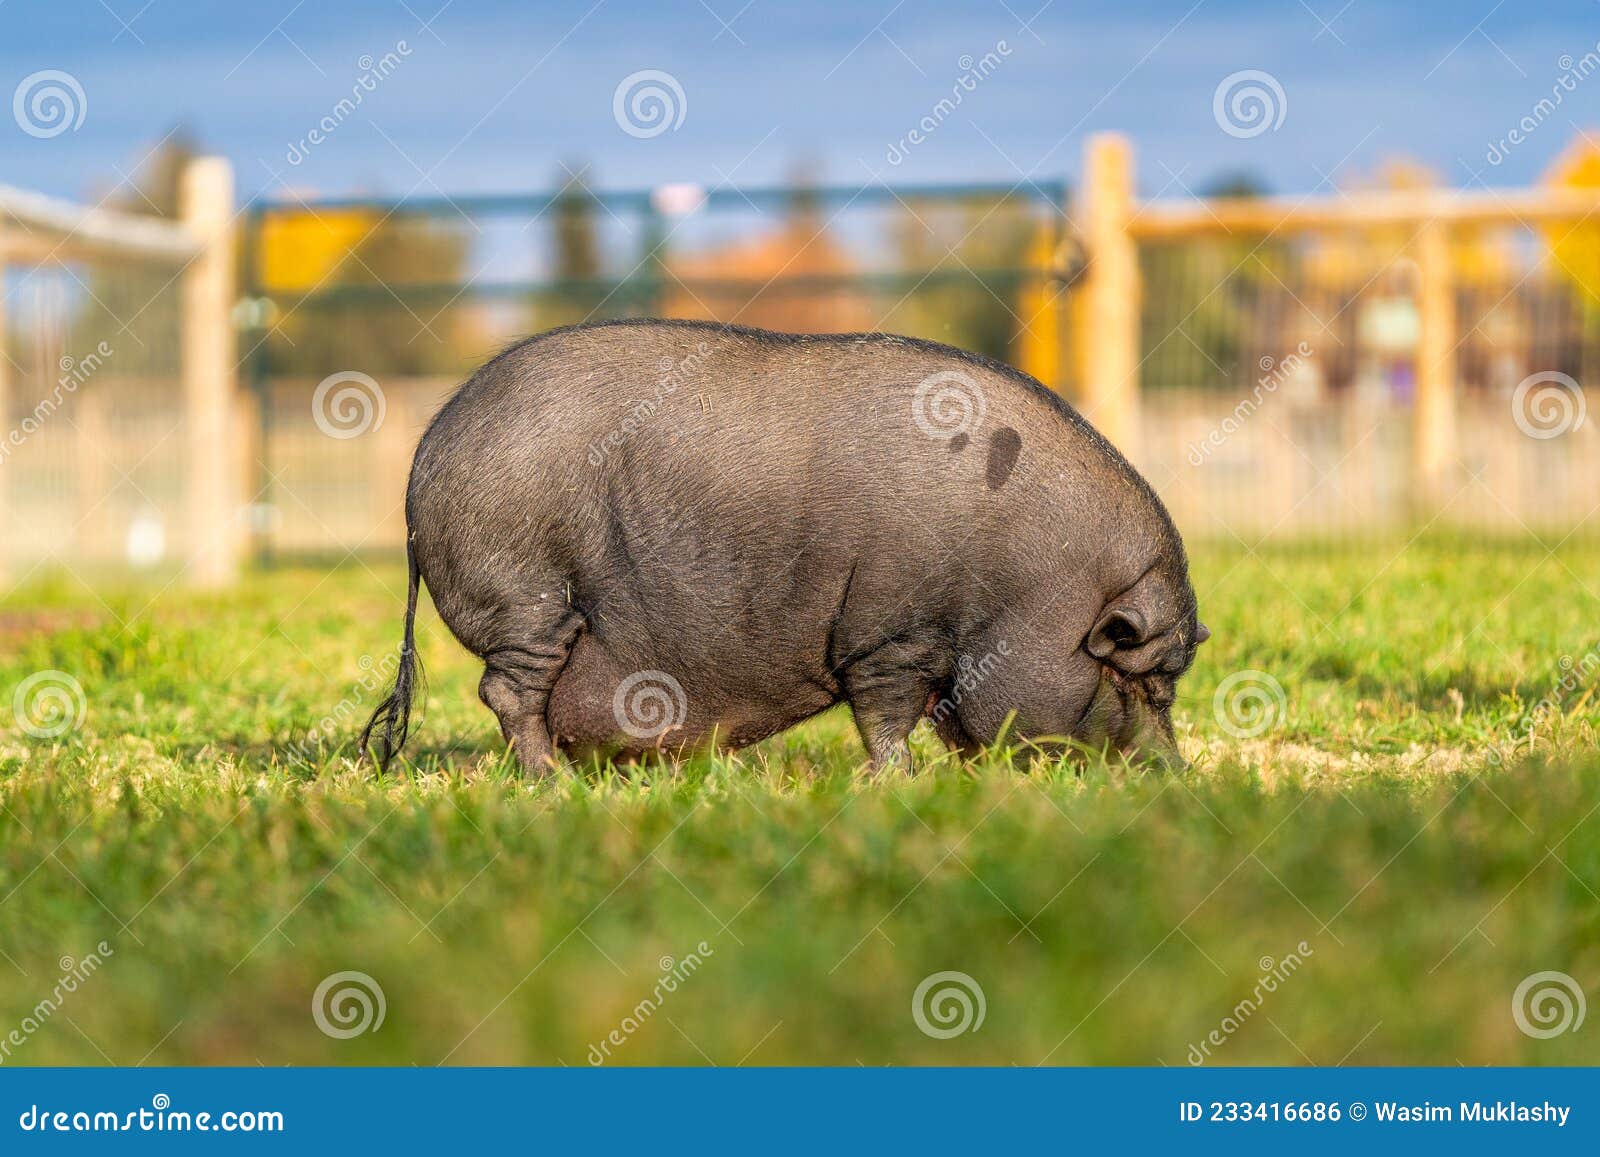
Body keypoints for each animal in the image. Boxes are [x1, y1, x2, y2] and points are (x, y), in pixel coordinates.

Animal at [360, 319, 1207, 775]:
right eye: (1136, 676)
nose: (1175, 776)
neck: (1021, 586)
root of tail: (423, 462)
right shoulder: (891, 634)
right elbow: (886, 716)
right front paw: (897, 784)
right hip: (523, 596)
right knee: (508, 692)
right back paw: (551, 785)